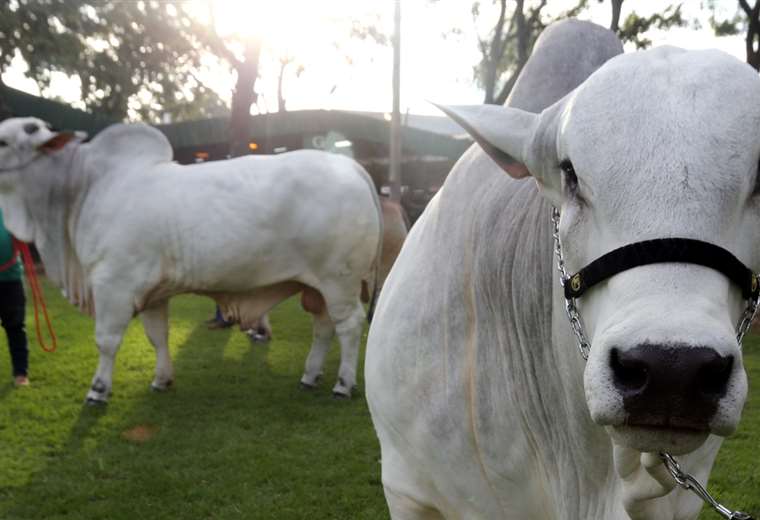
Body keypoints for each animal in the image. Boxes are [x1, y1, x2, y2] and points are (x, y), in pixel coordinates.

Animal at [0, 121, 380, 402]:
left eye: (3, 141)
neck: (83, 189)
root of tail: (349, 166)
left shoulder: (113, 284)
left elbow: (106, 340)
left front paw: (97, 390)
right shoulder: (152, 293)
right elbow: (158, 336)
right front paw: (161, 380)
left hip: (340, 280)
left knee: (349, 326)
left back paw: (343, 384)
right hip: (317, 286)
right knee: (324, 327)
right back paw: (310, 376)